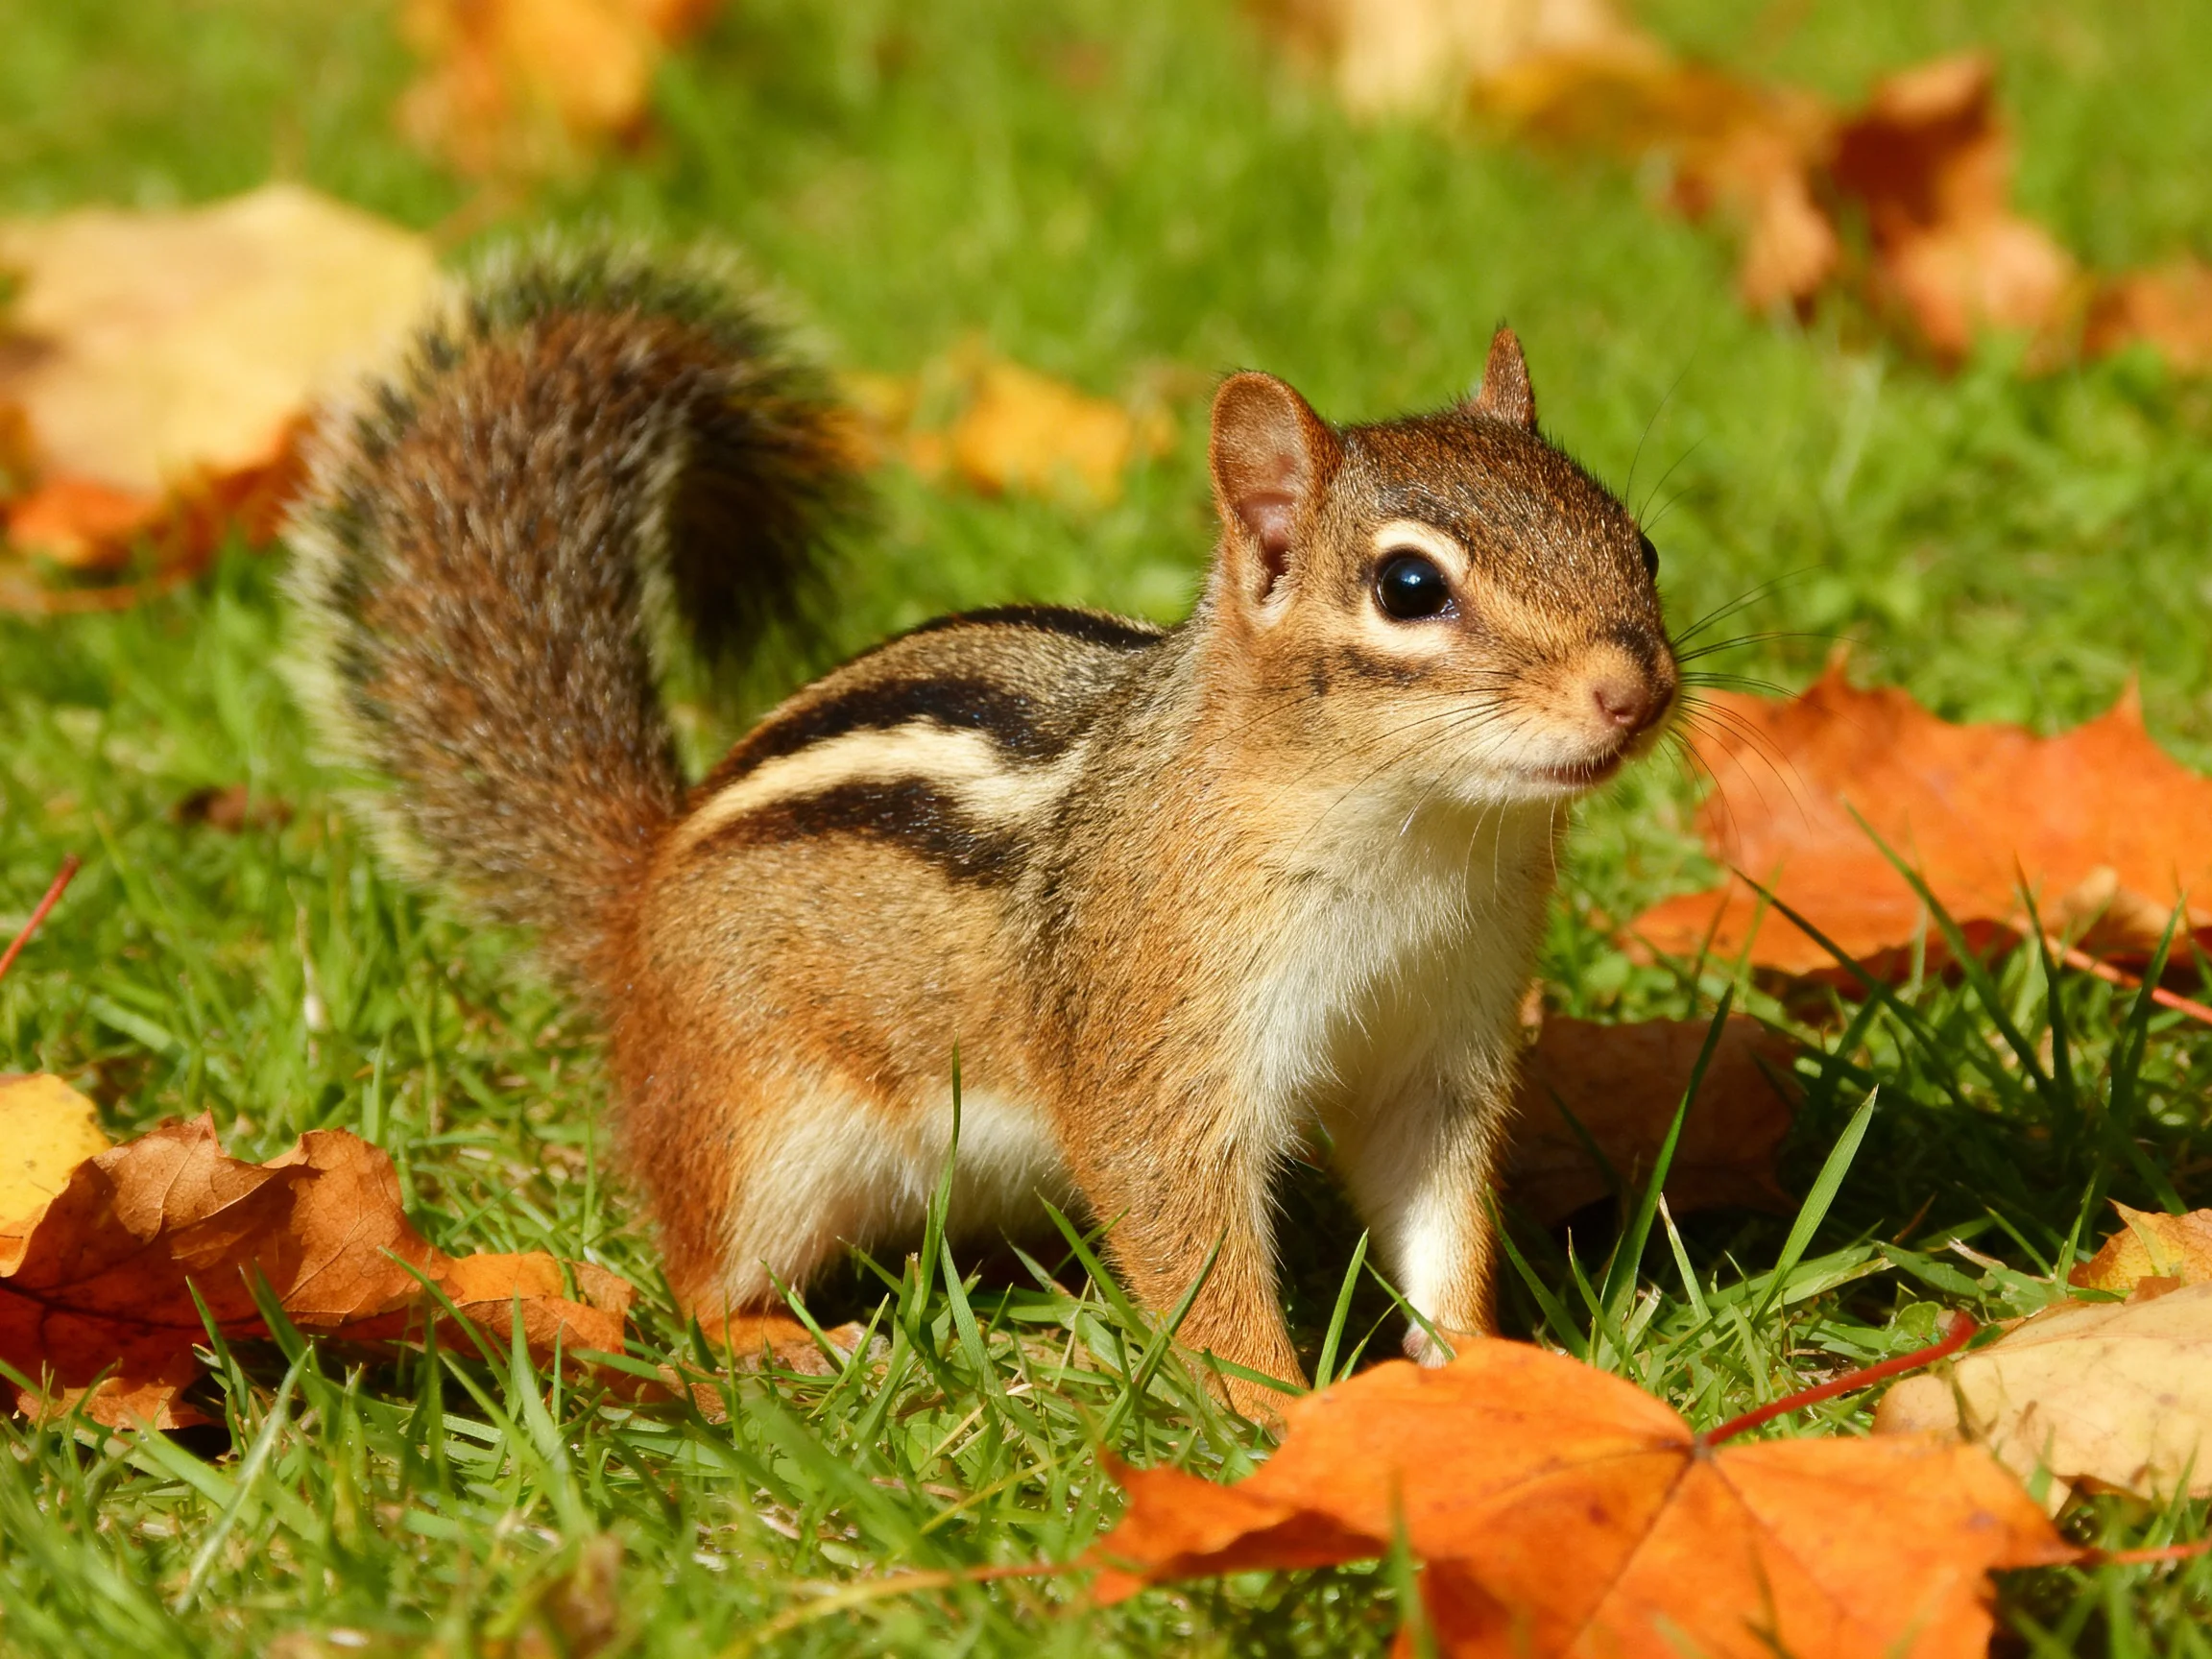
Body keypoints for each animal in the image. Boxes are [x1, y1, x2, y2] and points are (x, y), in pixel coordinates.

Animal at [285, 242, 1678, 1412]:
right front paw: (1280, 1418)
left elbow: (1439, 1220)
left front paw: (1491, 1372)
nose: (1634, 689)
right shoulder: (1156, 1042)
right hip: (764, 1129)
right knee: (695, 1282)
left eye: (1642, 544)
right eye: (1408, 586)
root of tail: (634, 910)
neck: (1417, 835)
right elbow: (1192, 1248)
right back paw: (792, 1342)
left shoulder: (1437, 1051)